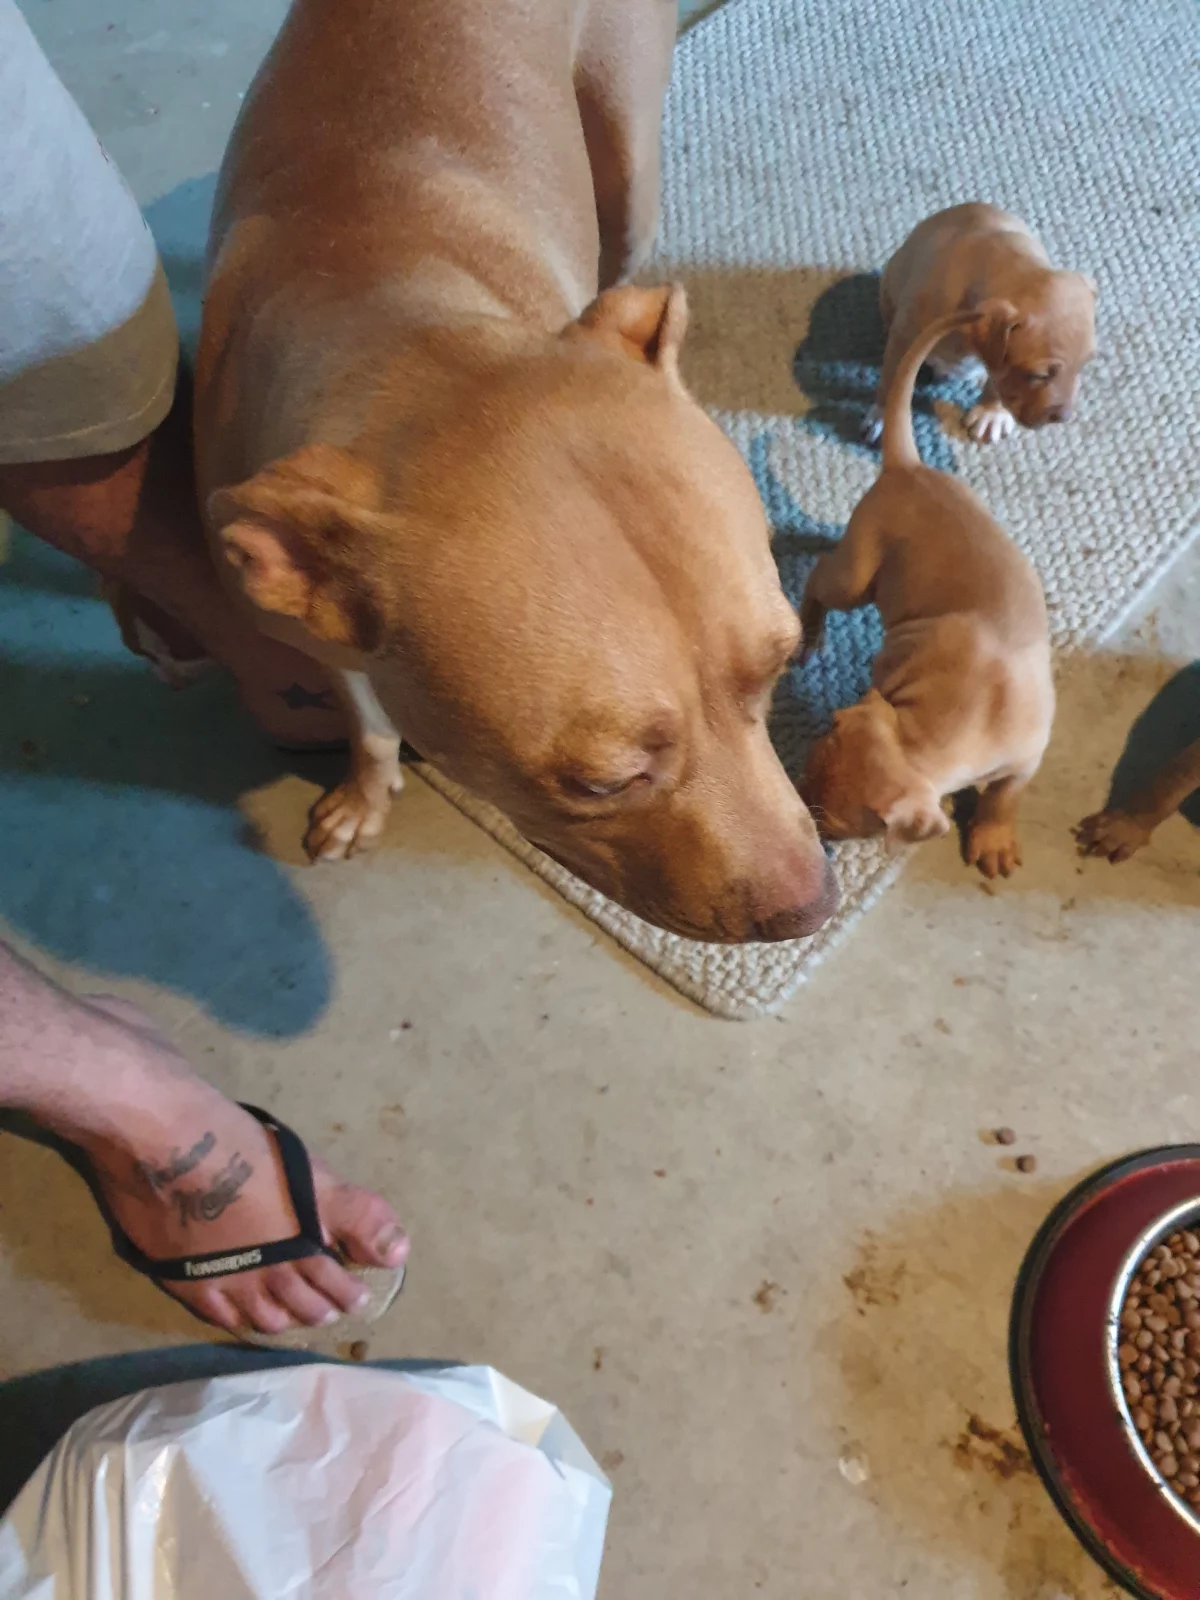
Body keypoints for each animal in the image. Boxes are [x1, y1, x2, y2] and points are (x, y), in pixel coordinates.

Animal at [192, 0, 836, 944]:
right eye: (600, 783)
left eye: (784, 665)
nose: (813, 909)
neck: (394, 313)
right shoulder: (321, 631)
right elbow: (365, 714)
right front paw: (365, 788)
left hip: (626, 161)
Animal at [801, 308, 1055, 878]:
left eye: (839, 829)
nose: (805, 826)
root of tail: (908, 466)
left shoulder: (1027, 758)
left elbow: (1004, 795)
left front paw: (993, 836)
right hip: (855, 577)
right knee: (818, 580)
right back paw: (807, 636)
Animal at [862, 203, 1096, 447]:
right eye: (1038, 376)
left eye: (1084, 365)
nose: (1063, 417)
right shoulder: (904, 337)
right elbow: (893, 377)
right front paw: (884, 416)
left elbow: (996, 379)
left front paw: (991, 412)